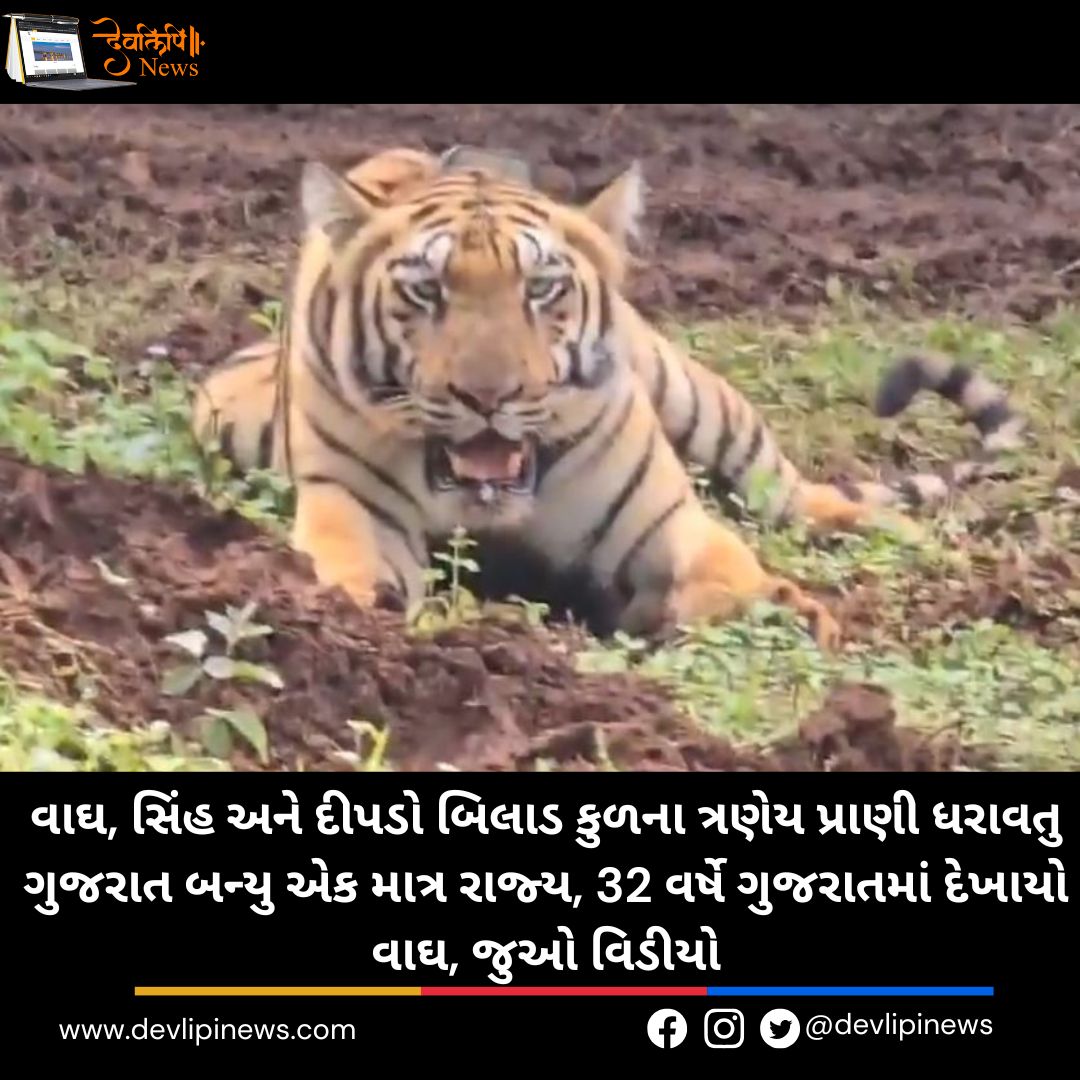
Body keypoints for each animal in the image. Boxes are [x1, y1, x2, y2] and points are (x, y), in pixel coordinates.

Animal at [190, 145, 1025, 648]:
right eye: (426, 291)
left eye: (541, 288)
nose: (489, 394)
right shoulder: (355, 513)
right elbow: (358, 580)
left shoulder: (670, 526)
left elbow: (739, 574)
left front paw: (789, 616)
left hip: (705, 406)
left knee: (798, 494)